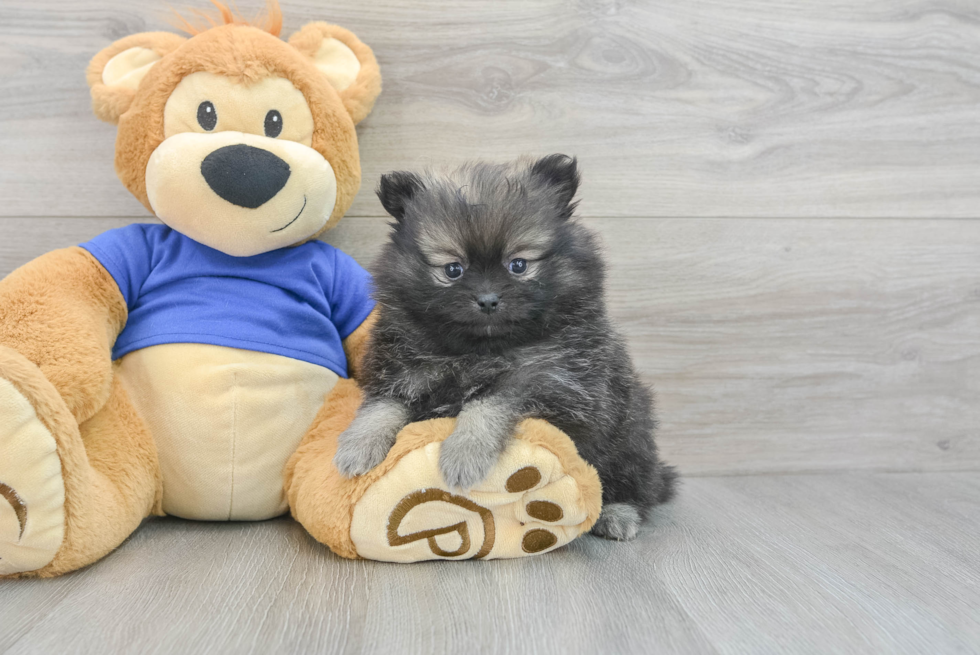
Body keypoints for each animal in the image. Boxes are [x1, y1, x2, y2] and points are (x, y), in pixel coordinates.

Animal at [334, 156, 672, 540]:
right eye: (453, 269)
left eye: (518, 265)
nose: (487, 299)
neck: (479, 351)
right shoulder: (402, 372)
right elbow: (381, 407)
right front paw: (357, 445)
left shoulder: (554, 386)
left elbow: (488, 402)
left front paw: (463, 454)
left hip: (628, 434)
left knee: (636, 485)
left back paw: (617, 514)